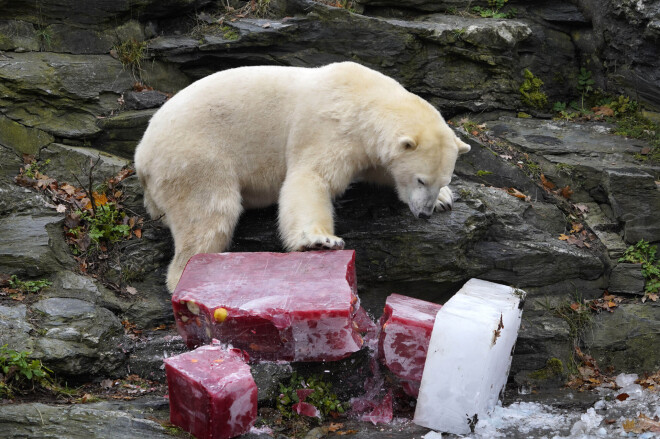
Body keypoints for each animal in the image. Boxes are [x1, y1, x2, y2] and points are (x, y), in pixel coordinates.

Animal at [134, 62, 472, 292]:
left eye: (440, 180)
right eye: (421, 180)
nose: (424, 214)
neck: (366, 98)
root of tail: (141, 157)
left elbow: (379, 169)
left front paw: (444, 200)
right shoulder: (329, 125)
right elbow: (311, 178)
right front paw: (320, 240)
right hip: (195, 158)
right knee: (210, 215)